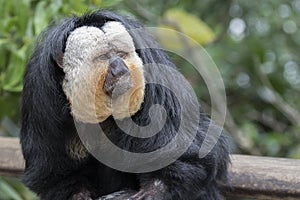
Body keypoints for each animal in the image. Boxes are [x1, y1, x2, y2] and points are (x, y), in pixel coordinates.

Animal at [19, 9, 229, 200]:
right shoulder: (39, 95)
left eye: (121, 54)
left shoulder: (156, 76)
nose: (121, 69)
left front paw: (152, 192)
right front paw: (78, 195)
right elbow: (55, 173)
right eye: (104, 57)